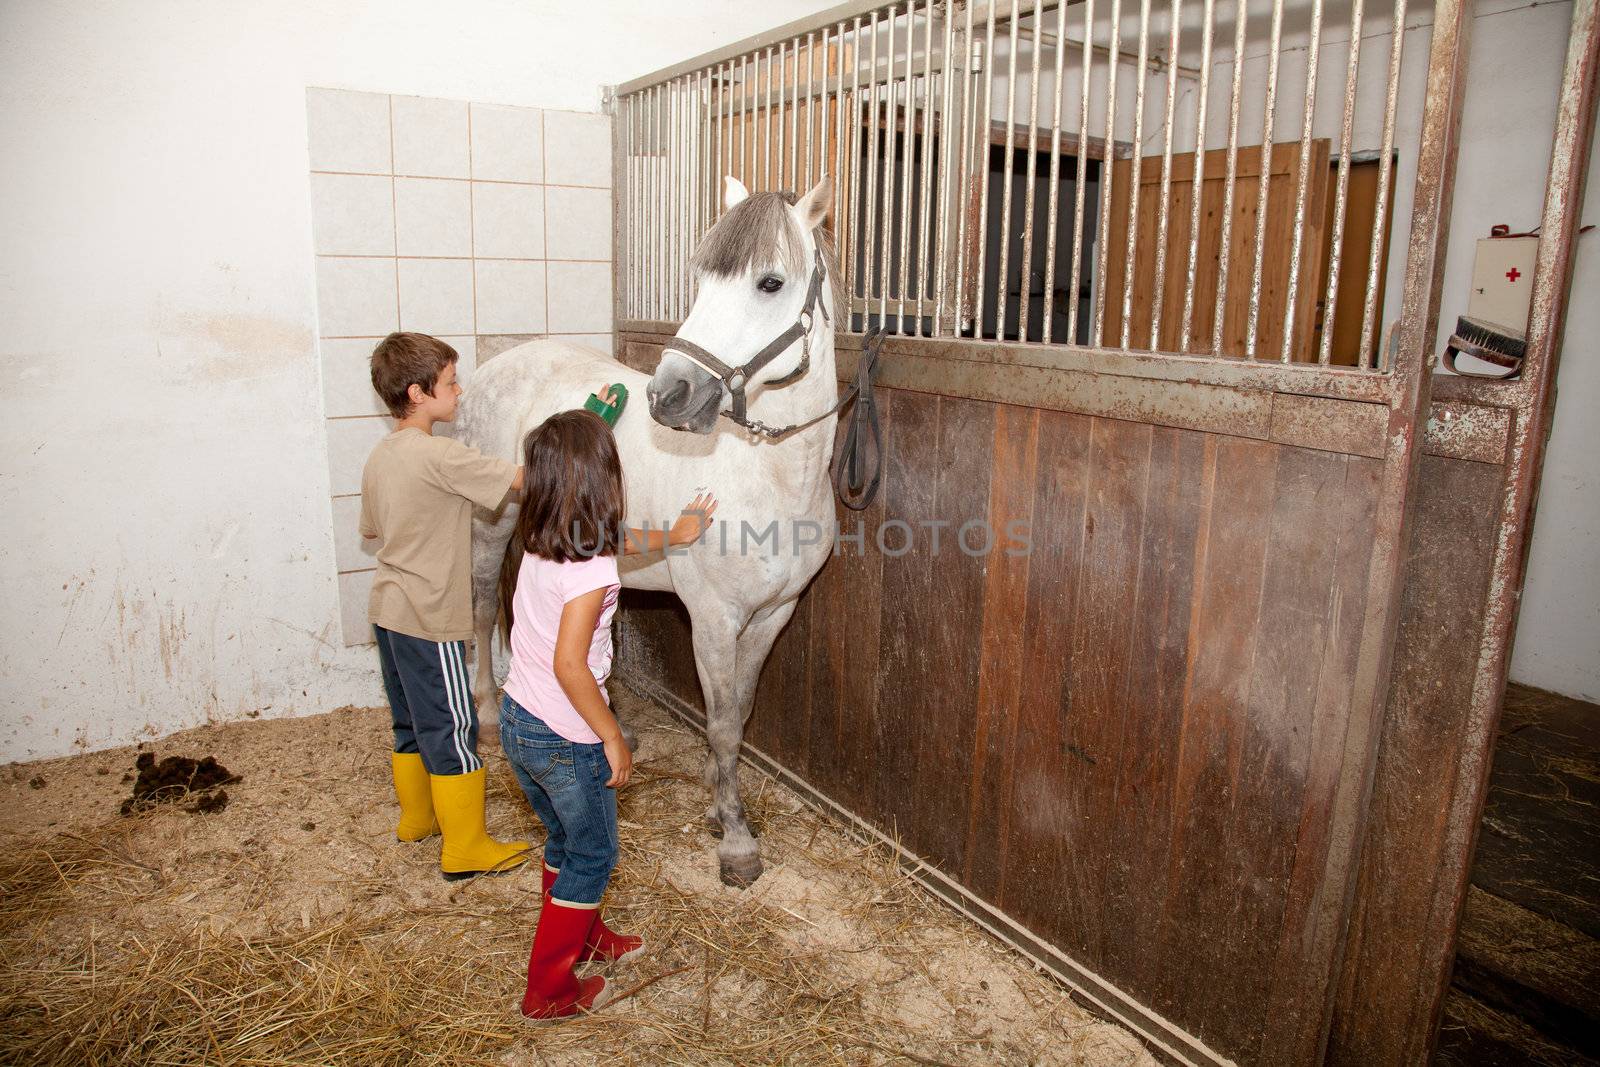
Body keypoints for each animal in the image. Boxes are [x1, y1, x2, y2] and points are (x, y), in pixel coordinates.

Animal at [460, 177, 844, 895]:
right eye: (700, 279)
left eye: (770, 282)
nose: (671, 393)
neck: (769, 478)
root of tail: (497, 365)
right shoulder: (713, 618)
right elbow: (721, 724)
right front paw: (736, 840)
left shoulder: (773, 614)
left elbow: (740, 711)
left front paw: (721, 803)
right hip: (488, 525)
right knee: (476, 612)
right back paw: (491, 719)